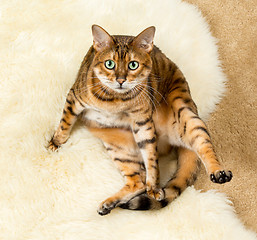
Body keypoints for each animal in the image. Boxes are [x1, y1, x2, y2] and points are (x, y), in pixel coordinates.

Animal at [48, 24, 232, 216]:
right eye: (109, 64)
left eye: (133, 65)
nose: (121, 80)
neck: (115, 102)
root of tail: (169, 141)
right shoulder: (74, 98)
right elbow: (65, 123)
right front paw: (55, 142)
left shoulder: (143, 123)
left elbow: (151, 159)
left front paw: (155, 187)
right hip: (118, 149)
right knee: (138, 182)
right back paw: (108, 204)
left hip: (187, 115)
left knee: (204, 147)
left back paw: (219, 172)